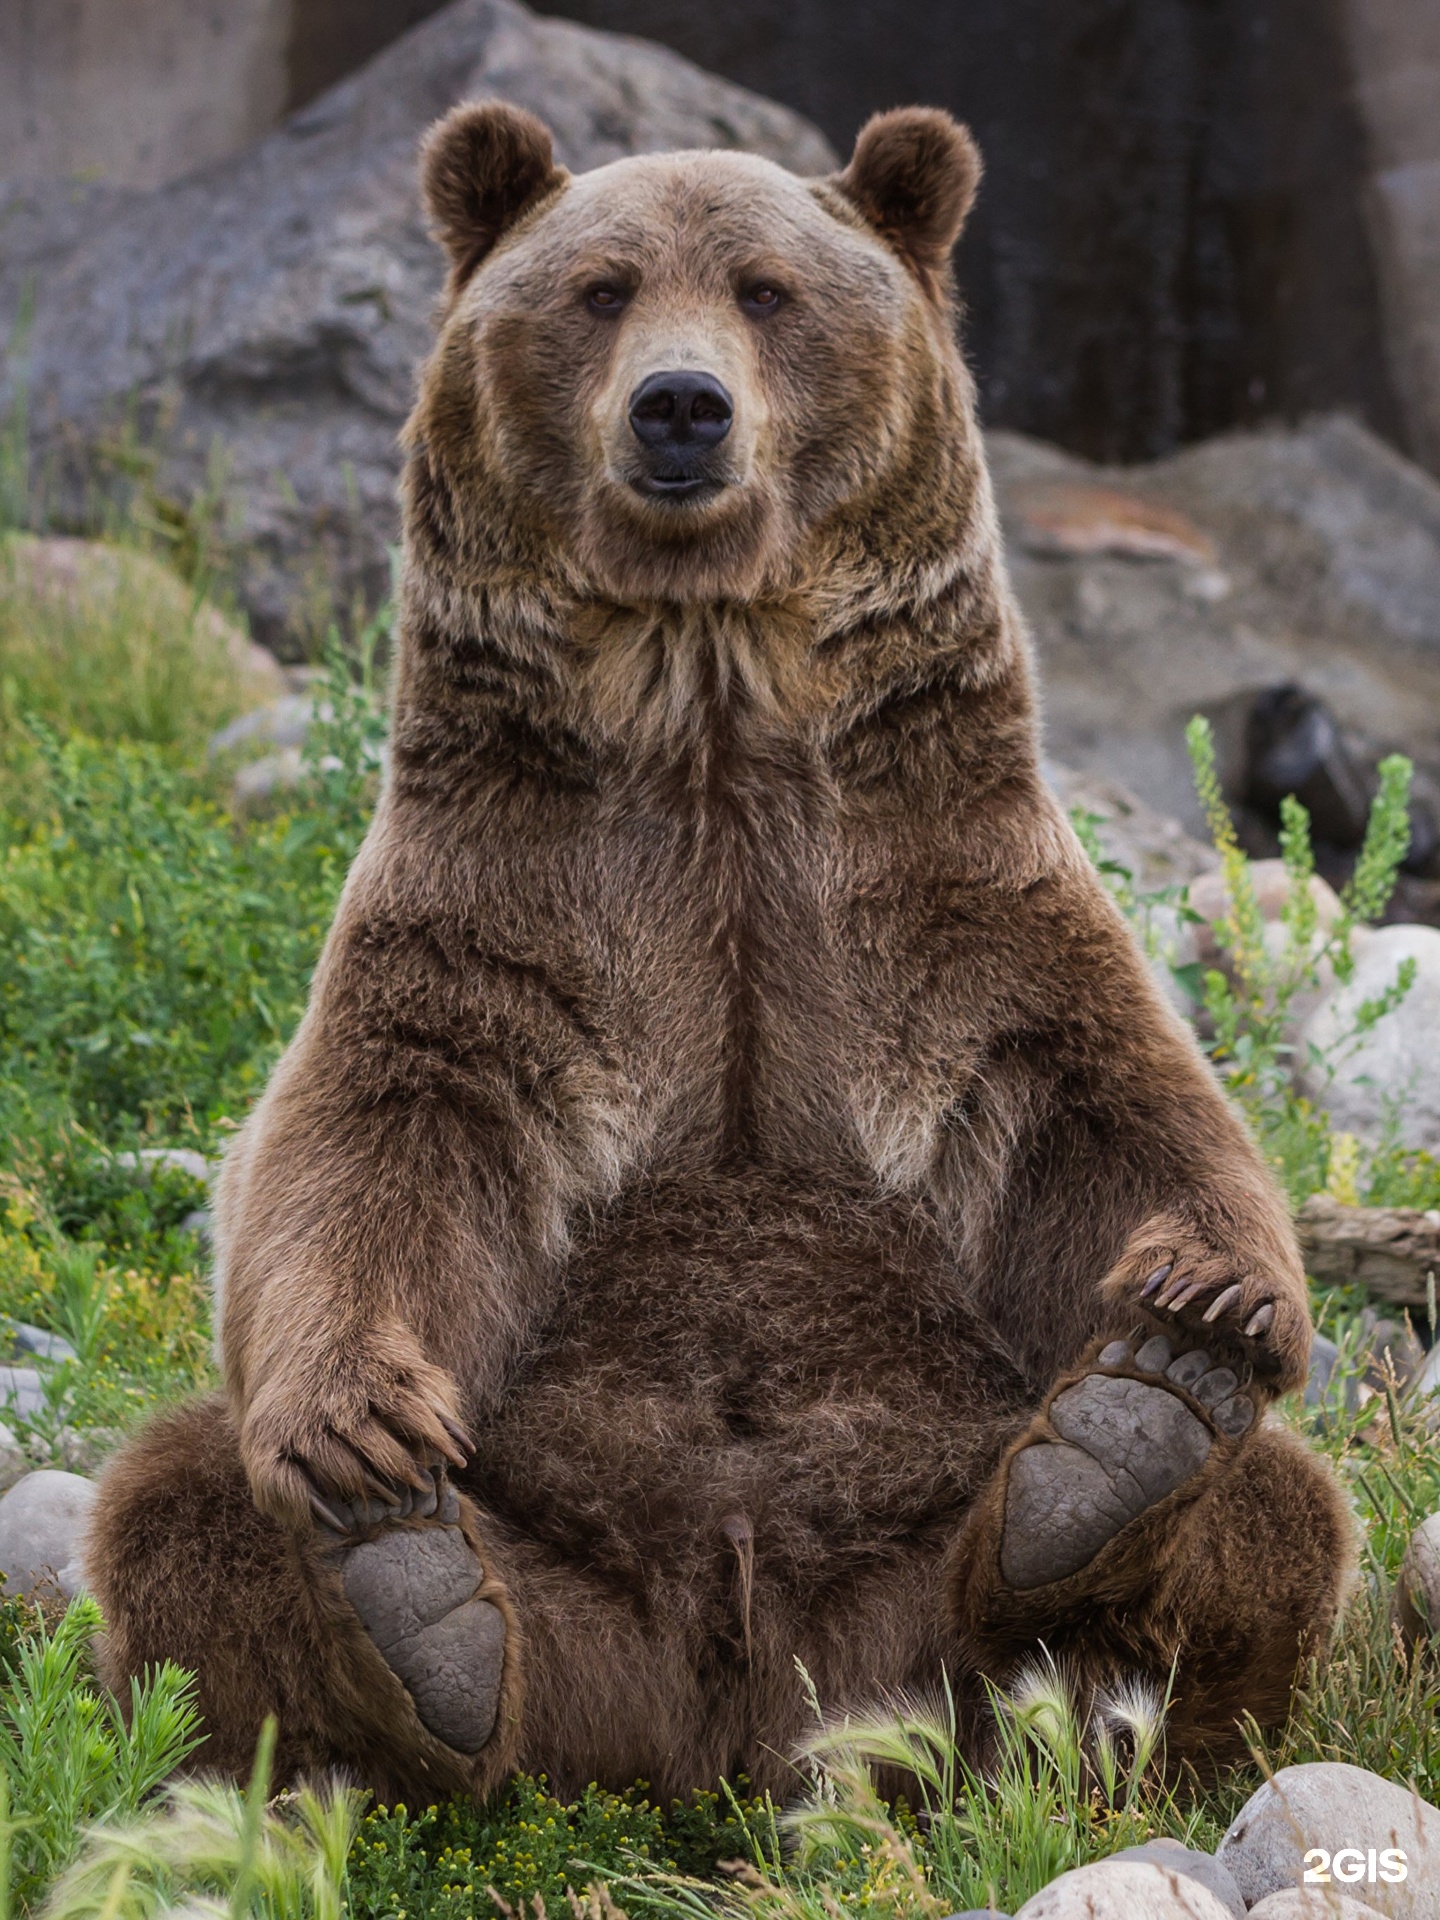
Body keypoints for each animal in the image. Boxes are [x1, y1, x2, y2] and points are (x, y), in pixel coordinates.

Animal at [87, 97, 1351, 1804]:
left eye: (767, 289)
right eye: (601, 288)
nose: (679, 408)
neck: (711, 705)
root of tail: (736, 1717)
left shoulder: (939, 893)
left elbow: (1106, 1103)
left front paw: (1206, 1303)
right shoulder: (508, 905)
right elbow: (372, 1143)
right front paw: (354, 1433)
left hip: (913, 1580)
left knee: (1272, 1512)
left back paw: (1119, 1455)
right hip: (569, 1586)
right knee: (176, 1500)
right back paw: (417, 1616)